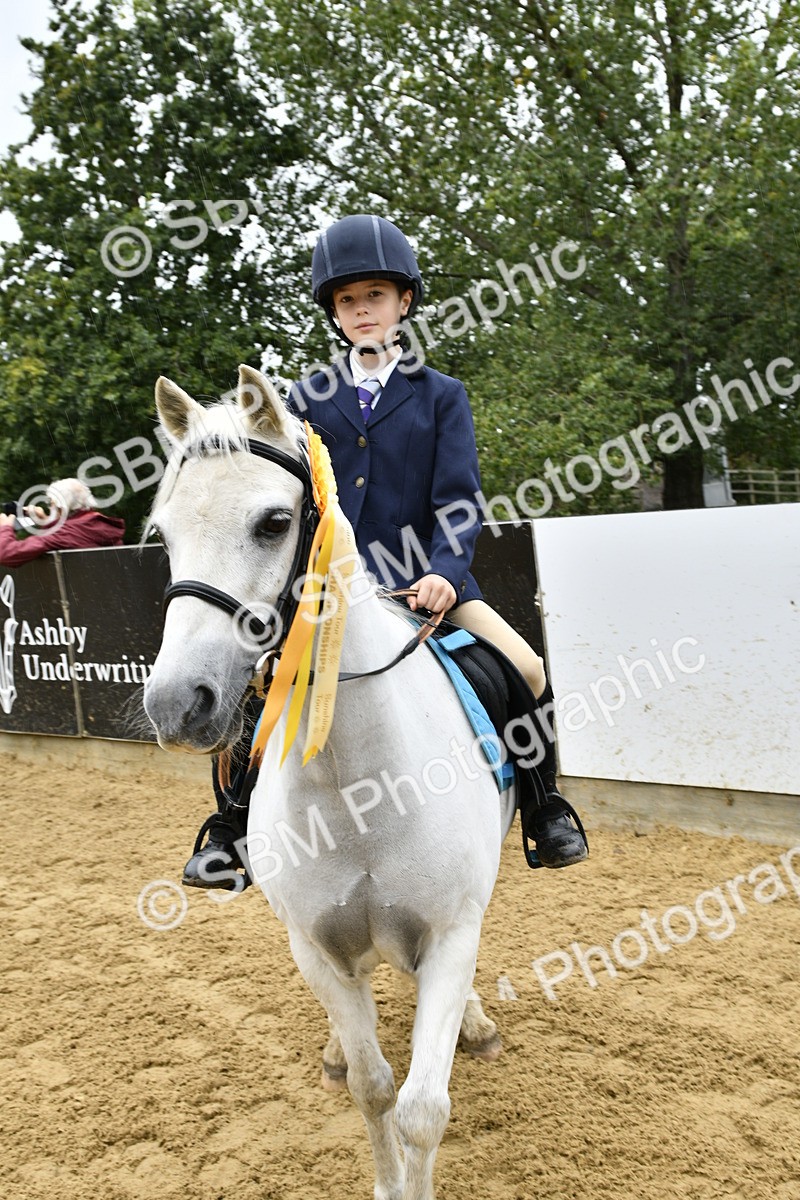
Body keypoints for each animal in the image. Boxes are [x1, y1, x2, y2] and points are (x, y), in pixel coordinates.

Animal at [143, 365, 515, 1200]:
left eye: (275, 522)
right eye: (165, 534)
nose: (176, 704)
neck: (358, 792)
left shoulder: (450, 934)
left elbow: (421, 1109)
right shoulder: (313, 946)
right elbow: (375, 1090)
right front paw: (384, 1175)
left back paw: (474, 1022)